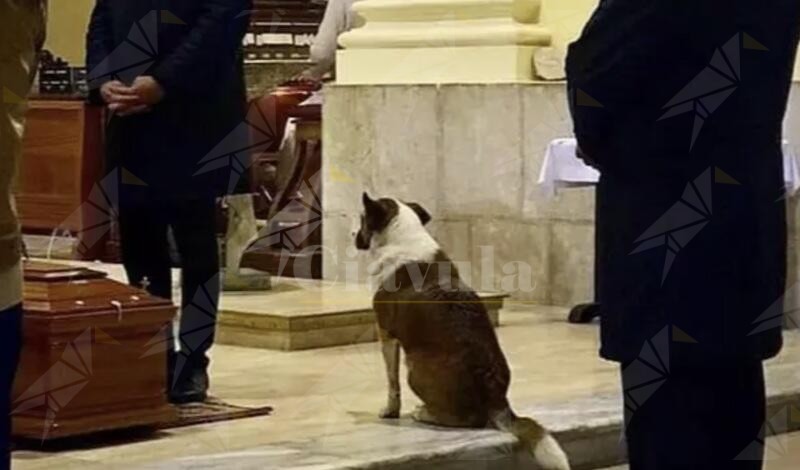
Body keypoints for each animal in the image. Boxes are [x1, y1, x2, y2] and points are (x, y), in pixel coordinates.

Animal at [354, 193, 568, 468]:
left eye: (362, 220)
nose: (354, 235)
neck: (402, 235)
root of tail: (496, 398)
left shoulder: (387, 335)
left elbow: (392, 383)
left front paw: (390, 411)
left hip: (415, 368)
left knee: (466, 420)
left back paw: (424, 413)